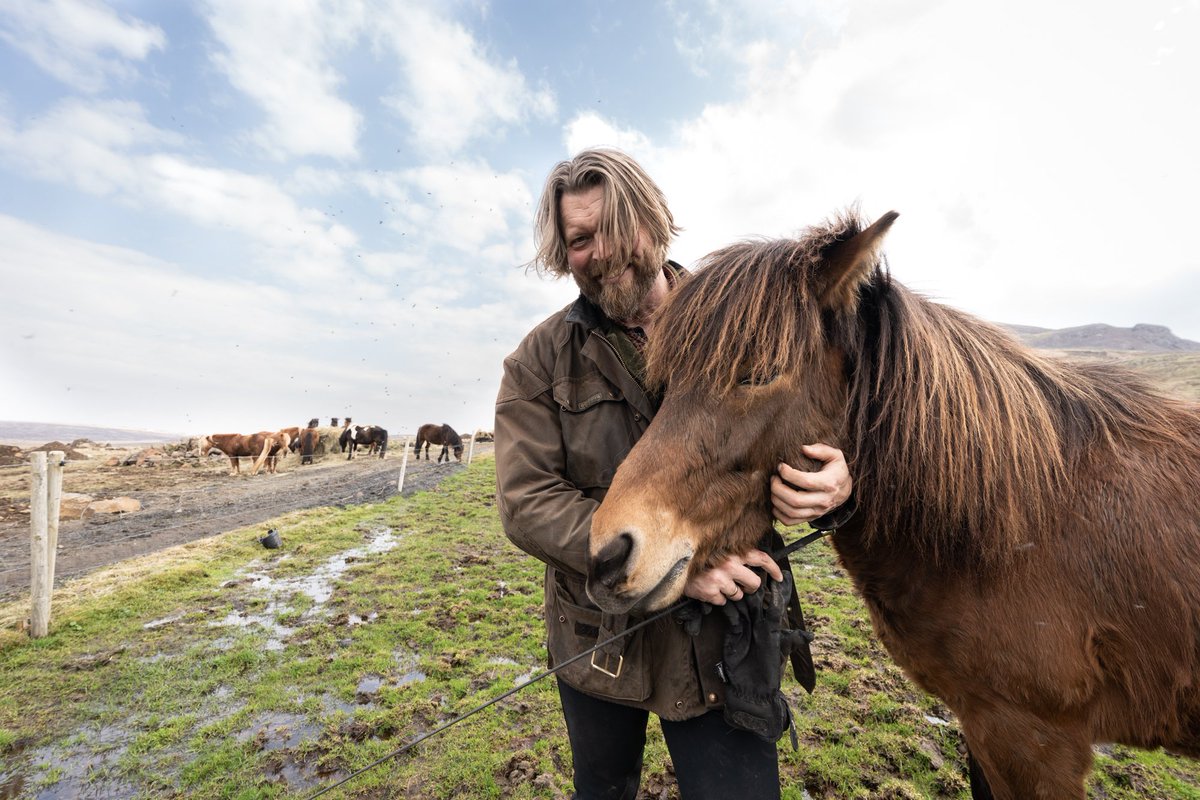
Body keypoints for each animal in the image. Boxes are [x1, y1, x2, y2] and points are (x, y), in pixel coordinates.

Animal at [586, 209, 1200, 799]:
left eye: (759, 373)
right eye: (665, 379)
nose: (608, 553)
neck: (1016, 525)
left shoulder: (1032, 740)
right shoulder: (985, 727)